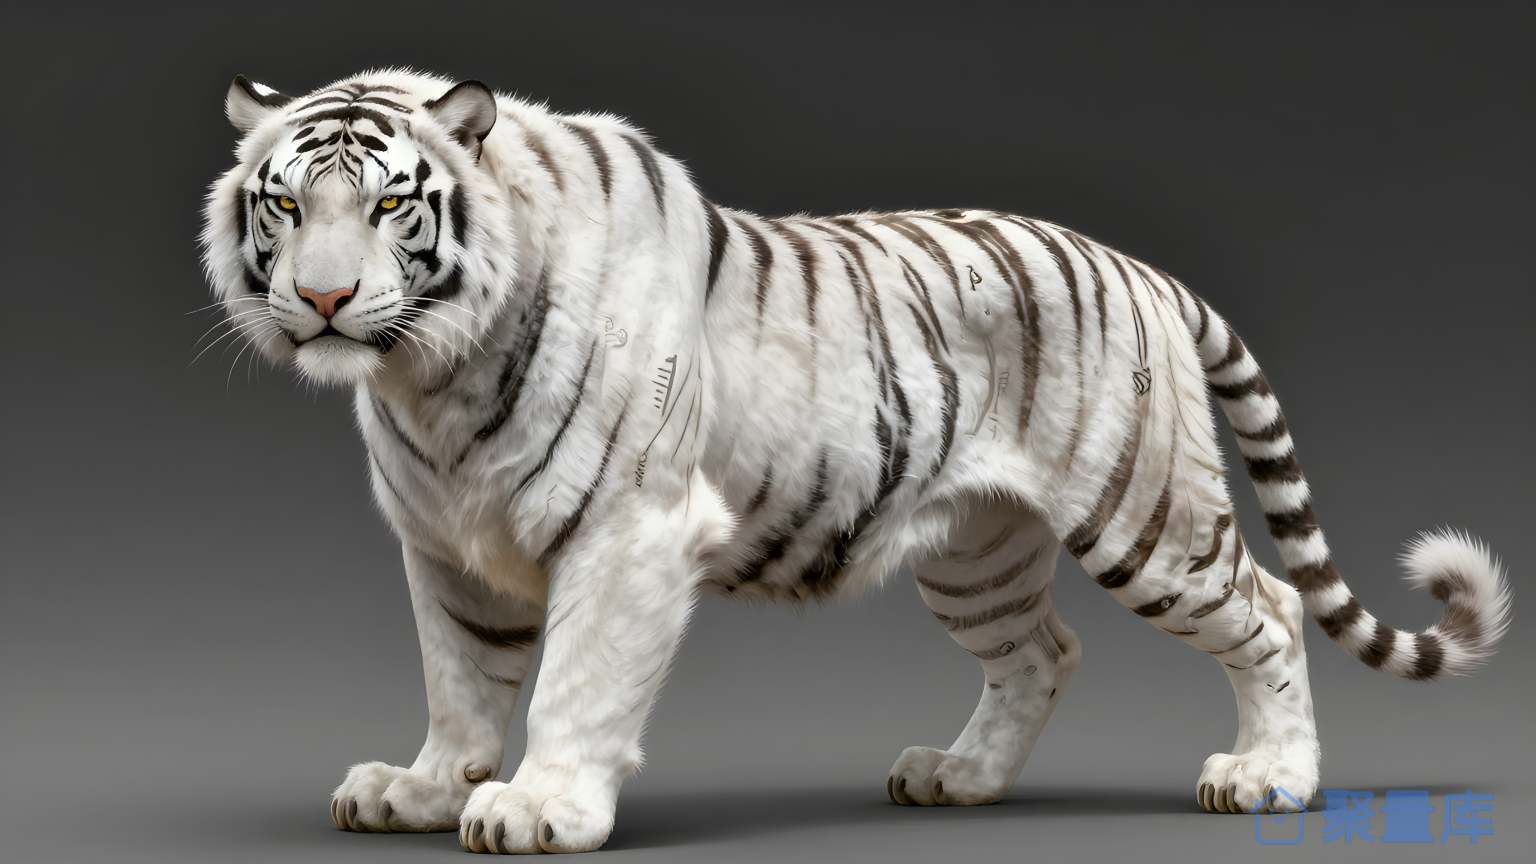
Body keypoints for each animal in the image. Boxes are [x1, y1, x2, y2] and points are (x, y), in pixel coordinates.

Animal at [200, 69, 1513, 854]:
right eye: (284, 204)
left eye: (389, 209)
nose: (323, 299)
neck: (429, 377)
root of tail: (1146, 271)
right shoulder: (446, 544)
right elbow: (461, 679)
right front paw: (425, 789)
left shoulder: (628, 531)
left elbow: (575, 683)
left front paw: (538, 805)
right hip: (978, 556)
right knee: (1044, 651)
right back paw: (960, 777)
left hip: (1148, 517)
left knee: (1273, 610)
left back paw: (1269, 778)